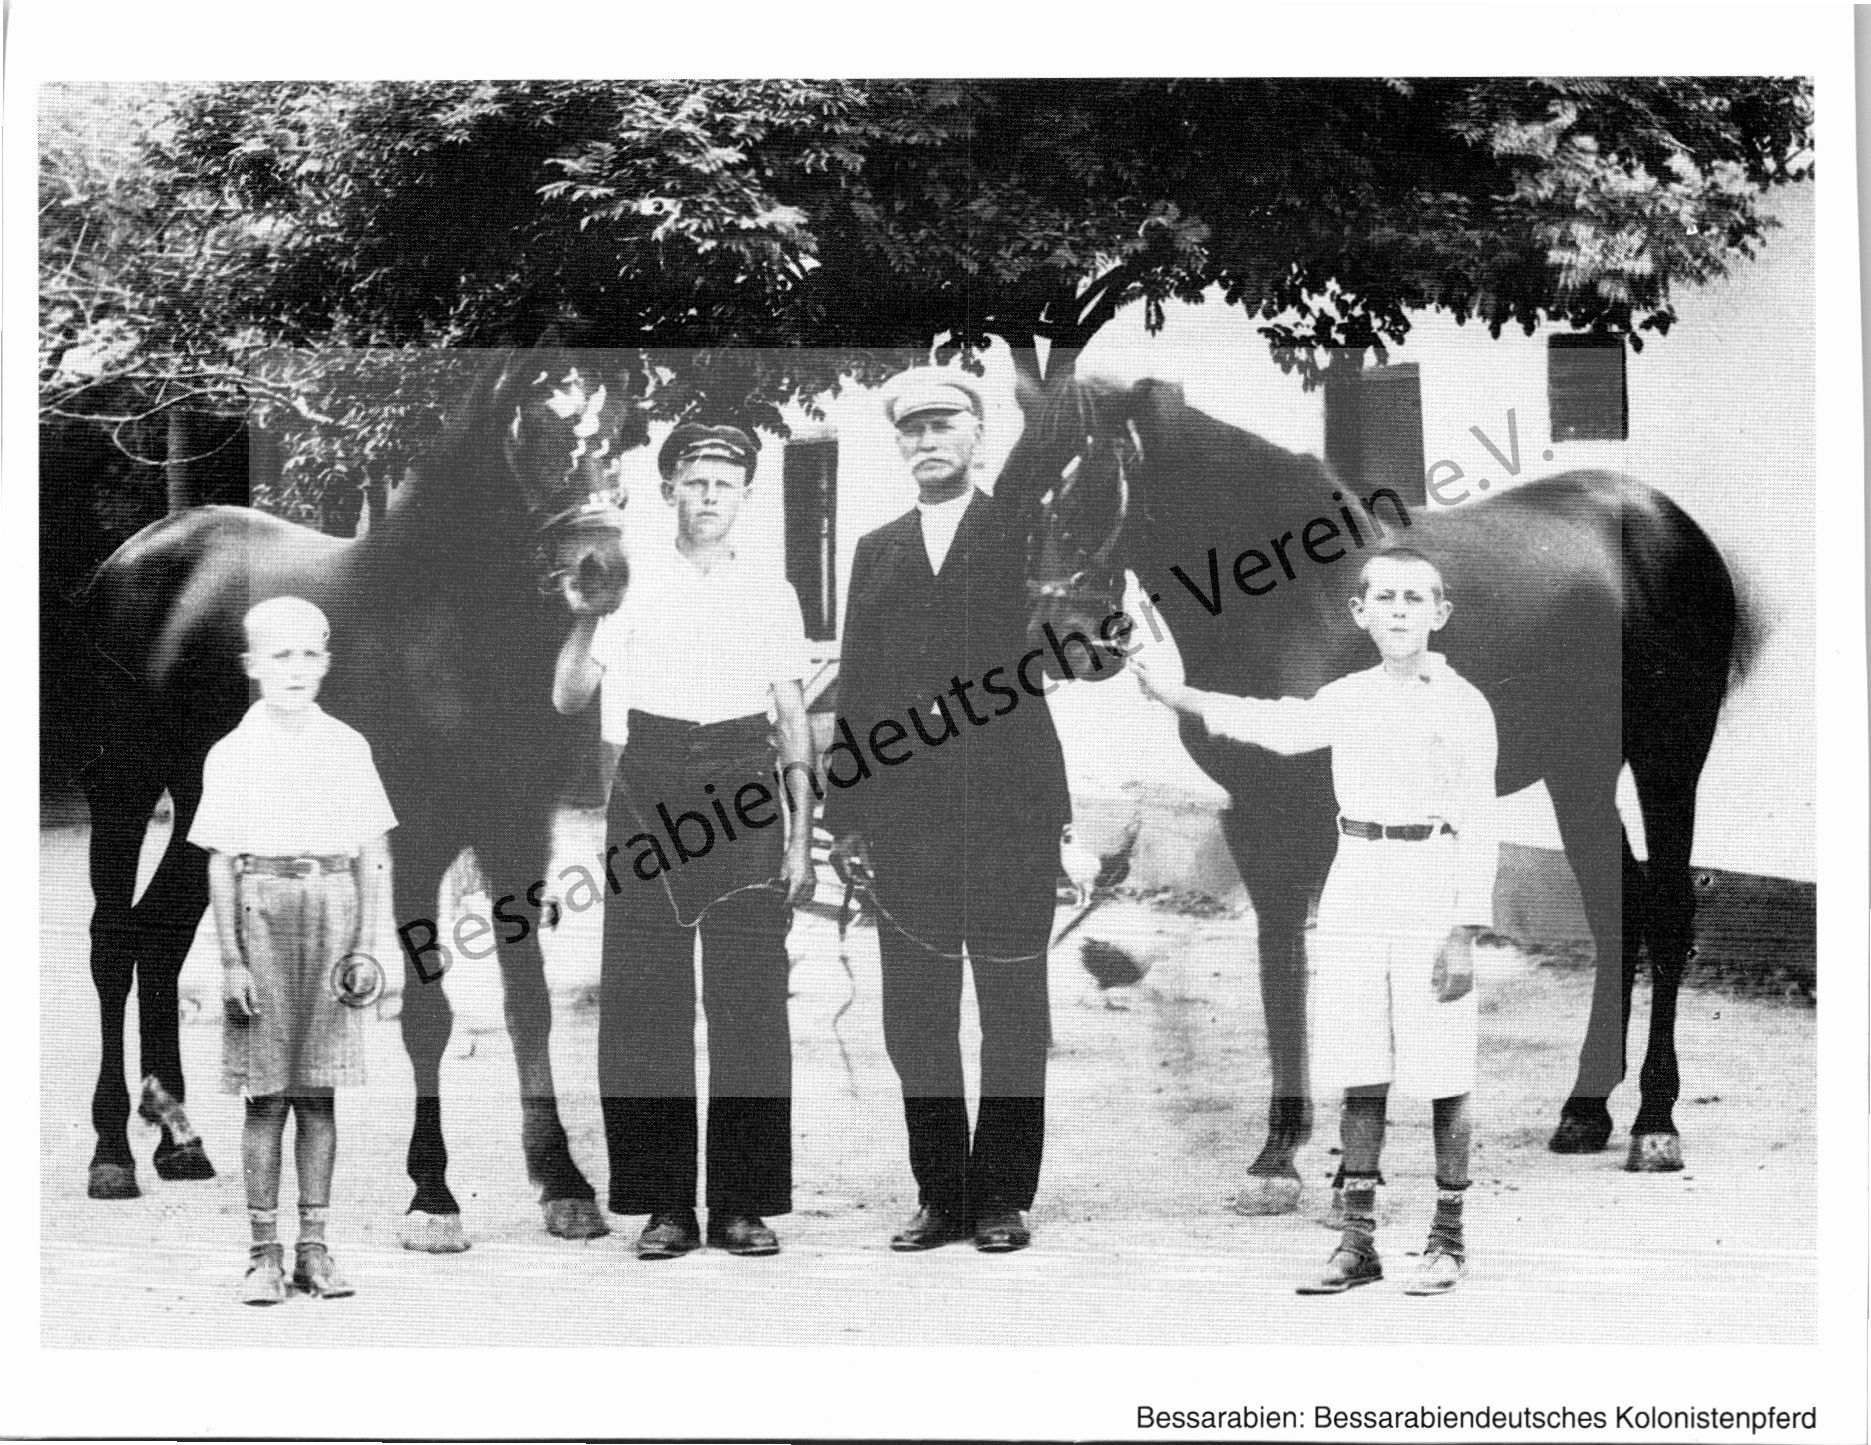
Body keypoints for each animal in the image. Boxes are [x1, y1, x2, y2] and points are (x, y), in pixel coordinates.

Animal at [78, 350, 636, 1250]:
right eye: (534, 427)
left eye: (619, 425)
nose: (602, 572)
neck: (444, 622)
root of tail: (130, 559)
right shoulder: (416, 840)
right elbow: (427, 1017)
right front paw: (433, 1195)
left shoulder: (518, 833)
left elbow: (531, 1005)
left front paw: (563, 1183)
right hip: (123, 789)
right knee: (110, 944)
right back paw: (111, 1155)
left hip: (205, 808)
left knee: (158, 939)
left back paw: (180, 1137)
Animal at [1002, 376, 1743, 1205]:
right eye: (1022, 491)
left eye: (1095, 485)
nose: (1064, 639)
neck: (1289, 603)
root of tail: (1664, 520)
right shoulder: (1253, 817)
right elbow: (1280, 968)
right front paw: (1278, 1155)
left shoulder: (1324, 820)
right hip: (1576, 767)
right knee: (1616, 902)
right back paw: (1584, 1111)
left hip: (1667, 756)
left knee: (1668, 909)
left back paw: (1654, 1122)